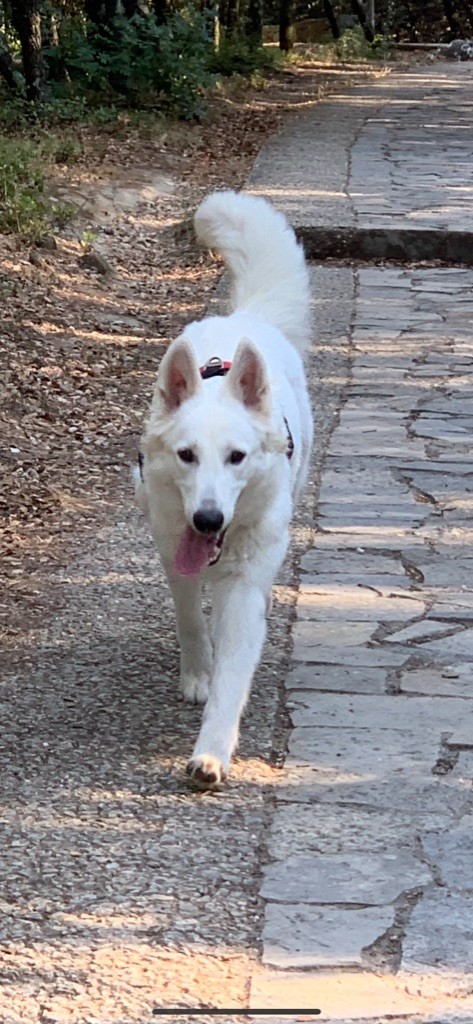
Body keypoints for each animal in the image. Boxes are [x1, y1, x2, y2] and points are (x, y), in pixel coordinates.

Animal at [136, 188, 313, 786]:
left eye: (237, 457)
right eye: (187, 456)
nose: (209, 519)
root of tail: (244, 317)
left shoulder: (243, 586)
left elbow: (234, 672)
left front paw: (211, 750)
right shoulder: (172, 547)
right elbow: (191, 619)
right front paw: (198, 673)